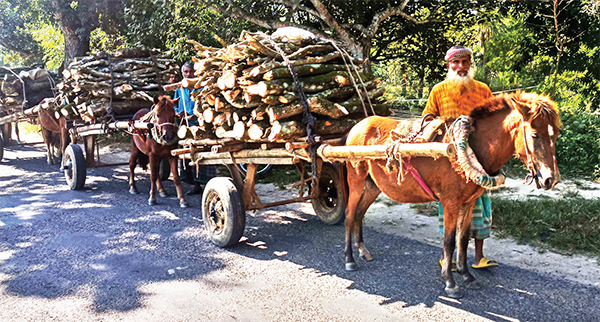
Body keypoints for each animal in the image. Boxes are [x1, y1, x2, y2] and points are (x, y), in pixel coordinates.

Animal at [342, 90, 564, 296]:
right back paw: (349, 258)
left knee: (360, 214)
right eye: (534, 134)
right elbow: (449, 241)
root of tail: (358, 125)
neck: (471, 146)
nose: (550, 179)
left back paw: (362, 250)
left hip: (373, 186)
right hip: (356, 180)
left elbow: (463, 239)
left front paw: (466, 275)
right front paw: (449, 281)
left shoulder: (470, 202)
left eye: (556, 135)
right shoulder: (450, 203)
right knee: (350, 215)